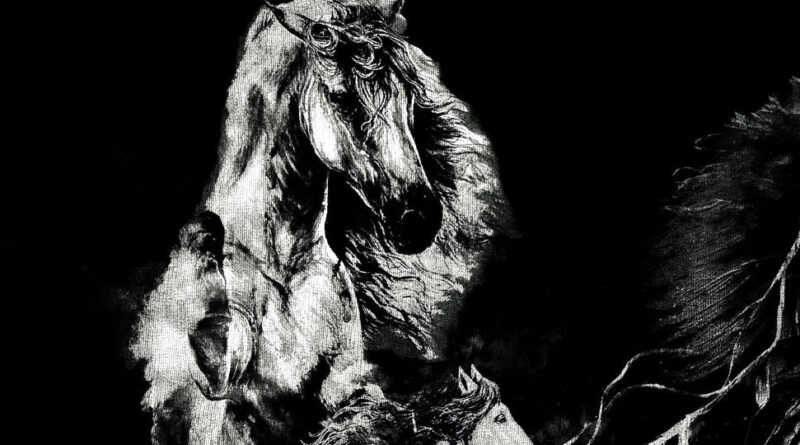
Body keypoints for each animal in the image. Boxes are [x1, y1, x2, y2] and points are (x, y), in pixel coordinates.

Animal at [131, 1, 514, 443]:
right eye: (342, 98)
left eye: (407, 97)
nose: (421, 219)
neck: (285, 267)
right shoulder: (224, 412)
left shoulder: (347, 382)